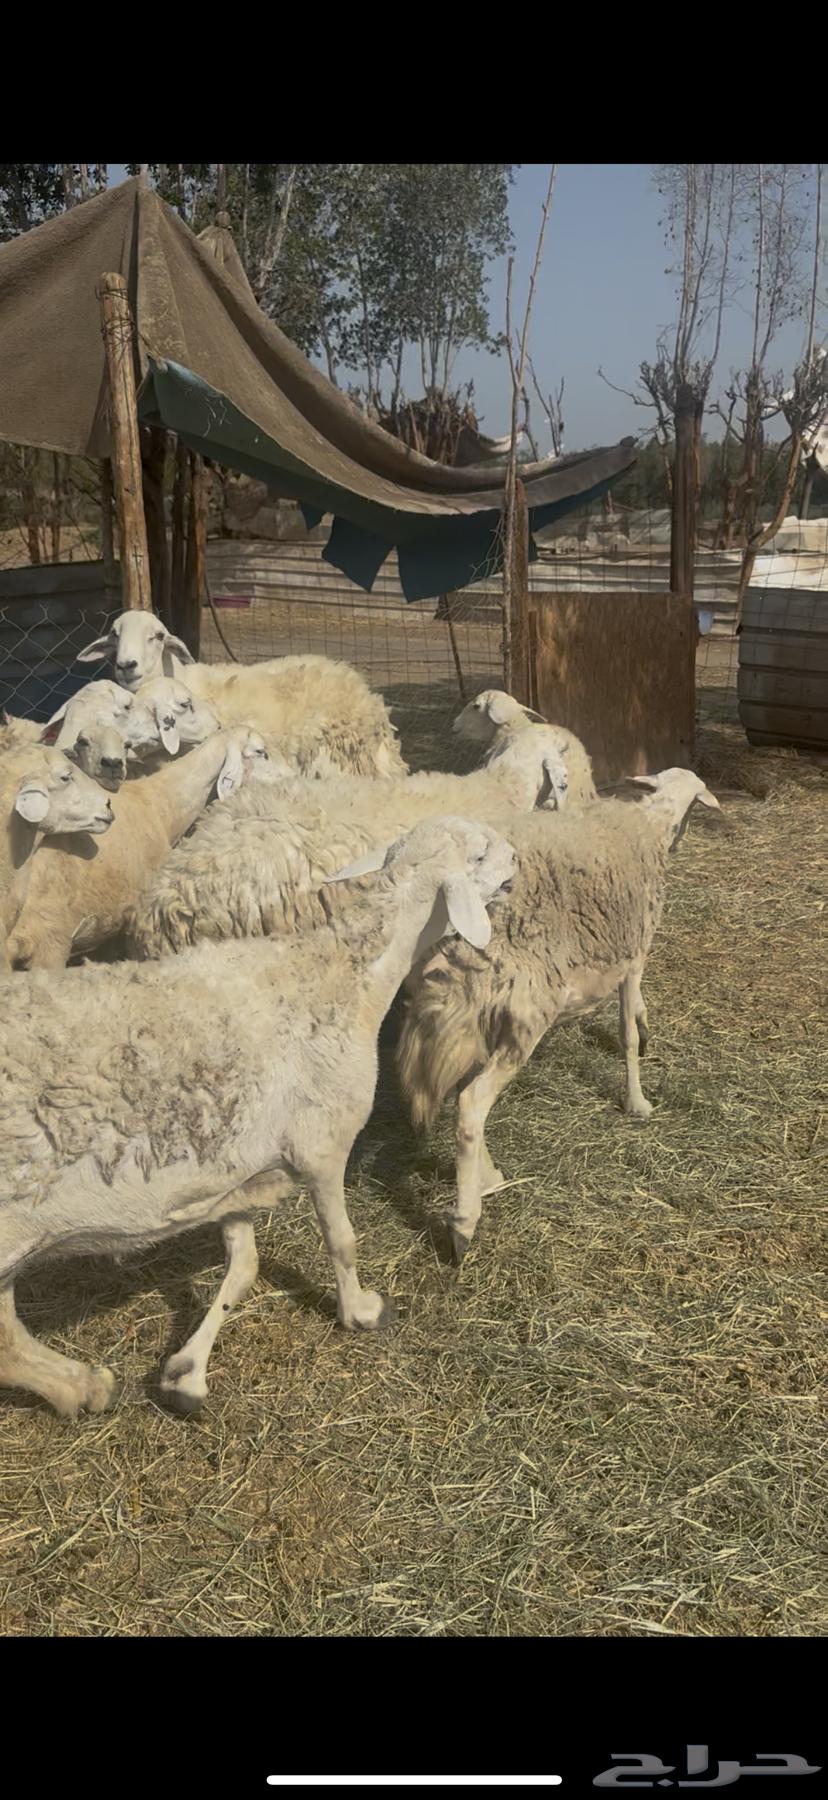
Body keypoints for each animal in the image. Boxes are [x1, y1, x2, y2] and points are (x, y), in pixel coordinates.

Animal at [0, 815, 517, 1417]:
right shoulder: (322, 1142)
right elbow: (342, 1240)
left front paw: (187, 1372)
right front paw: (360, 1311)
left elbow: (243, 1265)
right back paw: (84, 1386)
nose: (518, 858)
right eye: (479, 853)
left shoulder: (233, 1167)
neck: (346, 973)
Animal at [396, 769, 722, 1262]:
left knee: (461, 1095)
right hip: (525, 1011)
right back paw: (464, 1224)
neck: (648, 824)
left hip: (467, 1016)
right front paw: (638, 1101)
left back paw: (487, 1177)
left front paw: (647, 1032)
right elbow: (626, 1033)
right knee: (472, 1103)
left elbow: (635, 1017)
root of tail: (448, 942)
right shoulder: (634, 953)